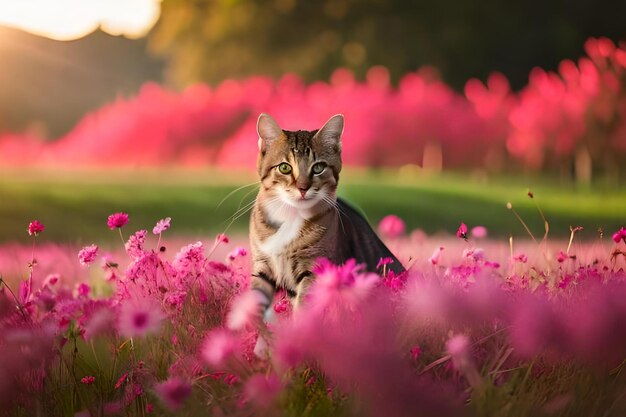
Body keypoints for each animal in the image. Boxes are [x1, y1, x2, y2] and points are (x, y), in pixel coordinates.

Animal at [249, 112, 404, 310]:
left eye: (318, 168)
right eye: (284, 167)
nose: (303, 188)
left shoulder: (315, 268)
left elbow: (305, 306)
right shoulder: (262, 265)